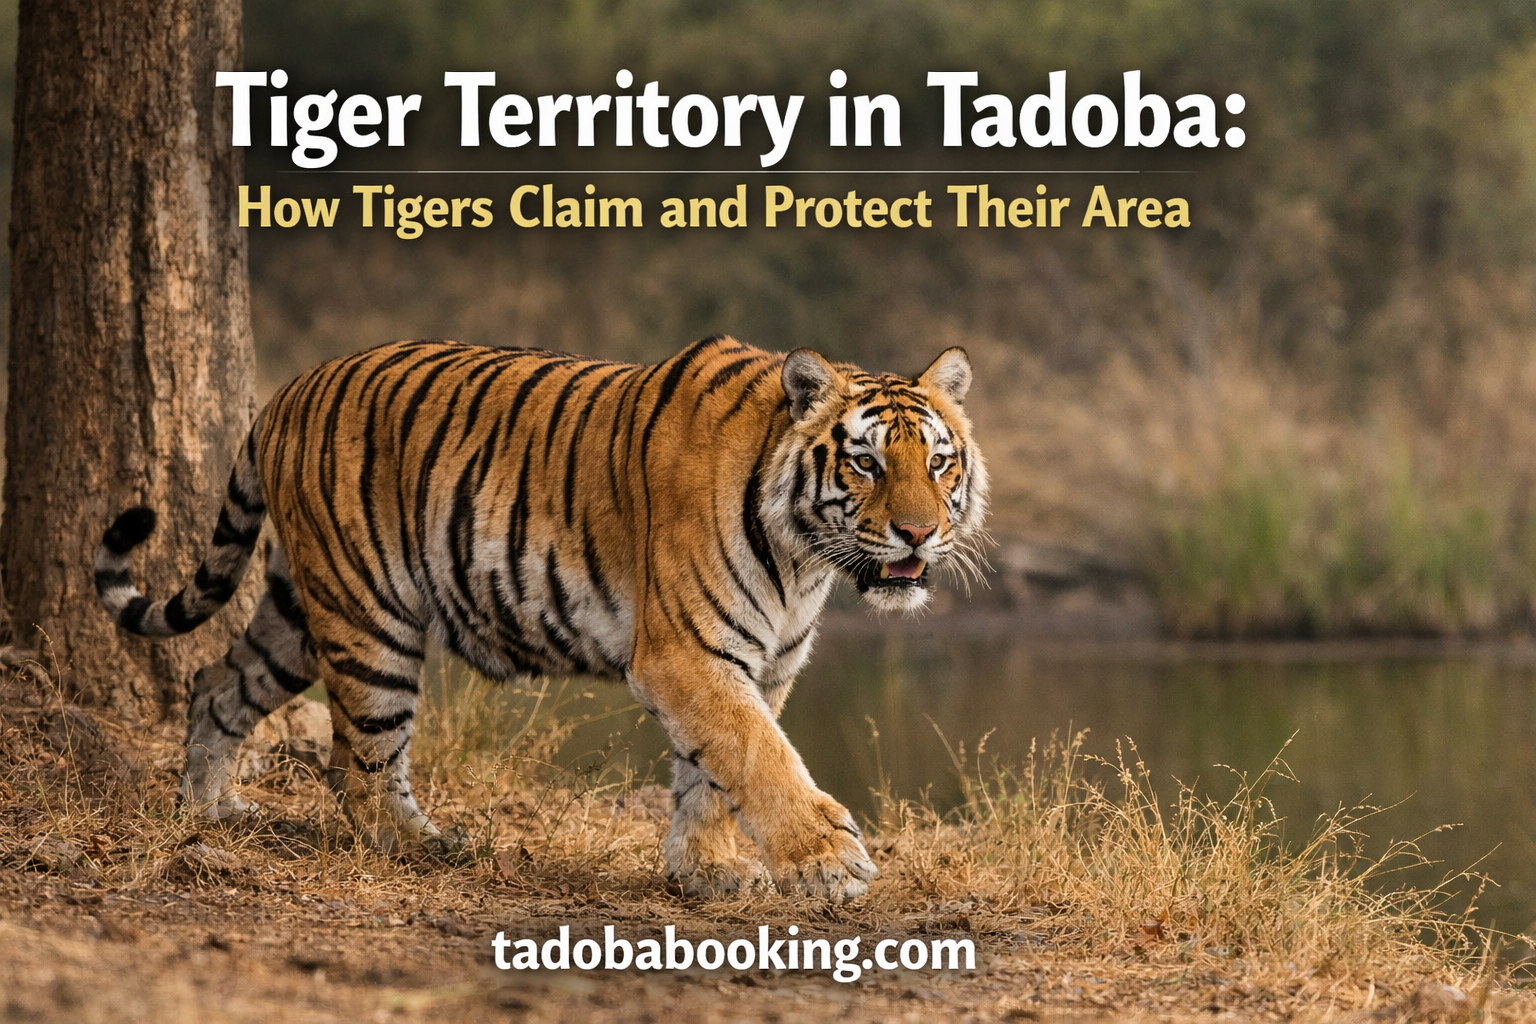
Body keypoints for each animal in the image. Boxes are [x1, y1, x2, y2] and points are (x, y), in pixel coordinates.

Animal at [93, 335, 988, 899]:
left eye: (939, 462)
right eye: (867, 463)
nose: (918, 532)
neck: (804, 558)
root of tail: (283, 394)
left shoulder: (758, 663)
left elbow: (711, 771)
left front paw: (706, 872)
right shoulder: (686, 652)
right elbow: (757, 754)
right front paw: (829, 862)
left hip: (296, 611)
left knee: (217, 680)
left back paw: (209, 809)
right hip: (368, 614)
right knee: (358, 761)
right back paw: (420, 846)